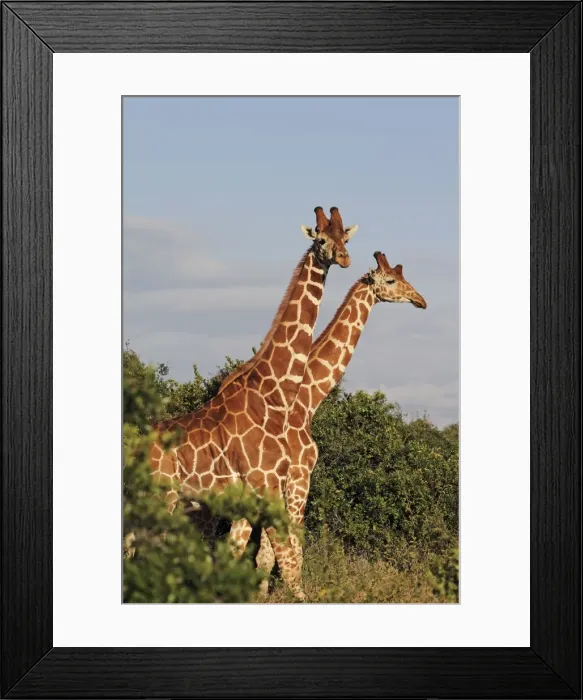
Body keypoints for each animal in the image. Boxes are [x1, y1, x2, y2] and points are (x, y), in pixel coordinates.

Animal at [149, 207, 358, 599]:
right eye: (321, 239)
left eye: (346, 238)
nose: (344, 258)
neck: (273, 393)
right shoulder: (267, 484)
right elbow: (287, 562)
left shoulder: (264, 488)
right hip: (163, 498)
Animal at [254, 251, 427, 596]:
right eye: (391, 280)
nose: (420, 300)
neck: (307, 401)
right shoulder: (299, 476)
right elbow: (293, 548)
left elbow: (268, 553)